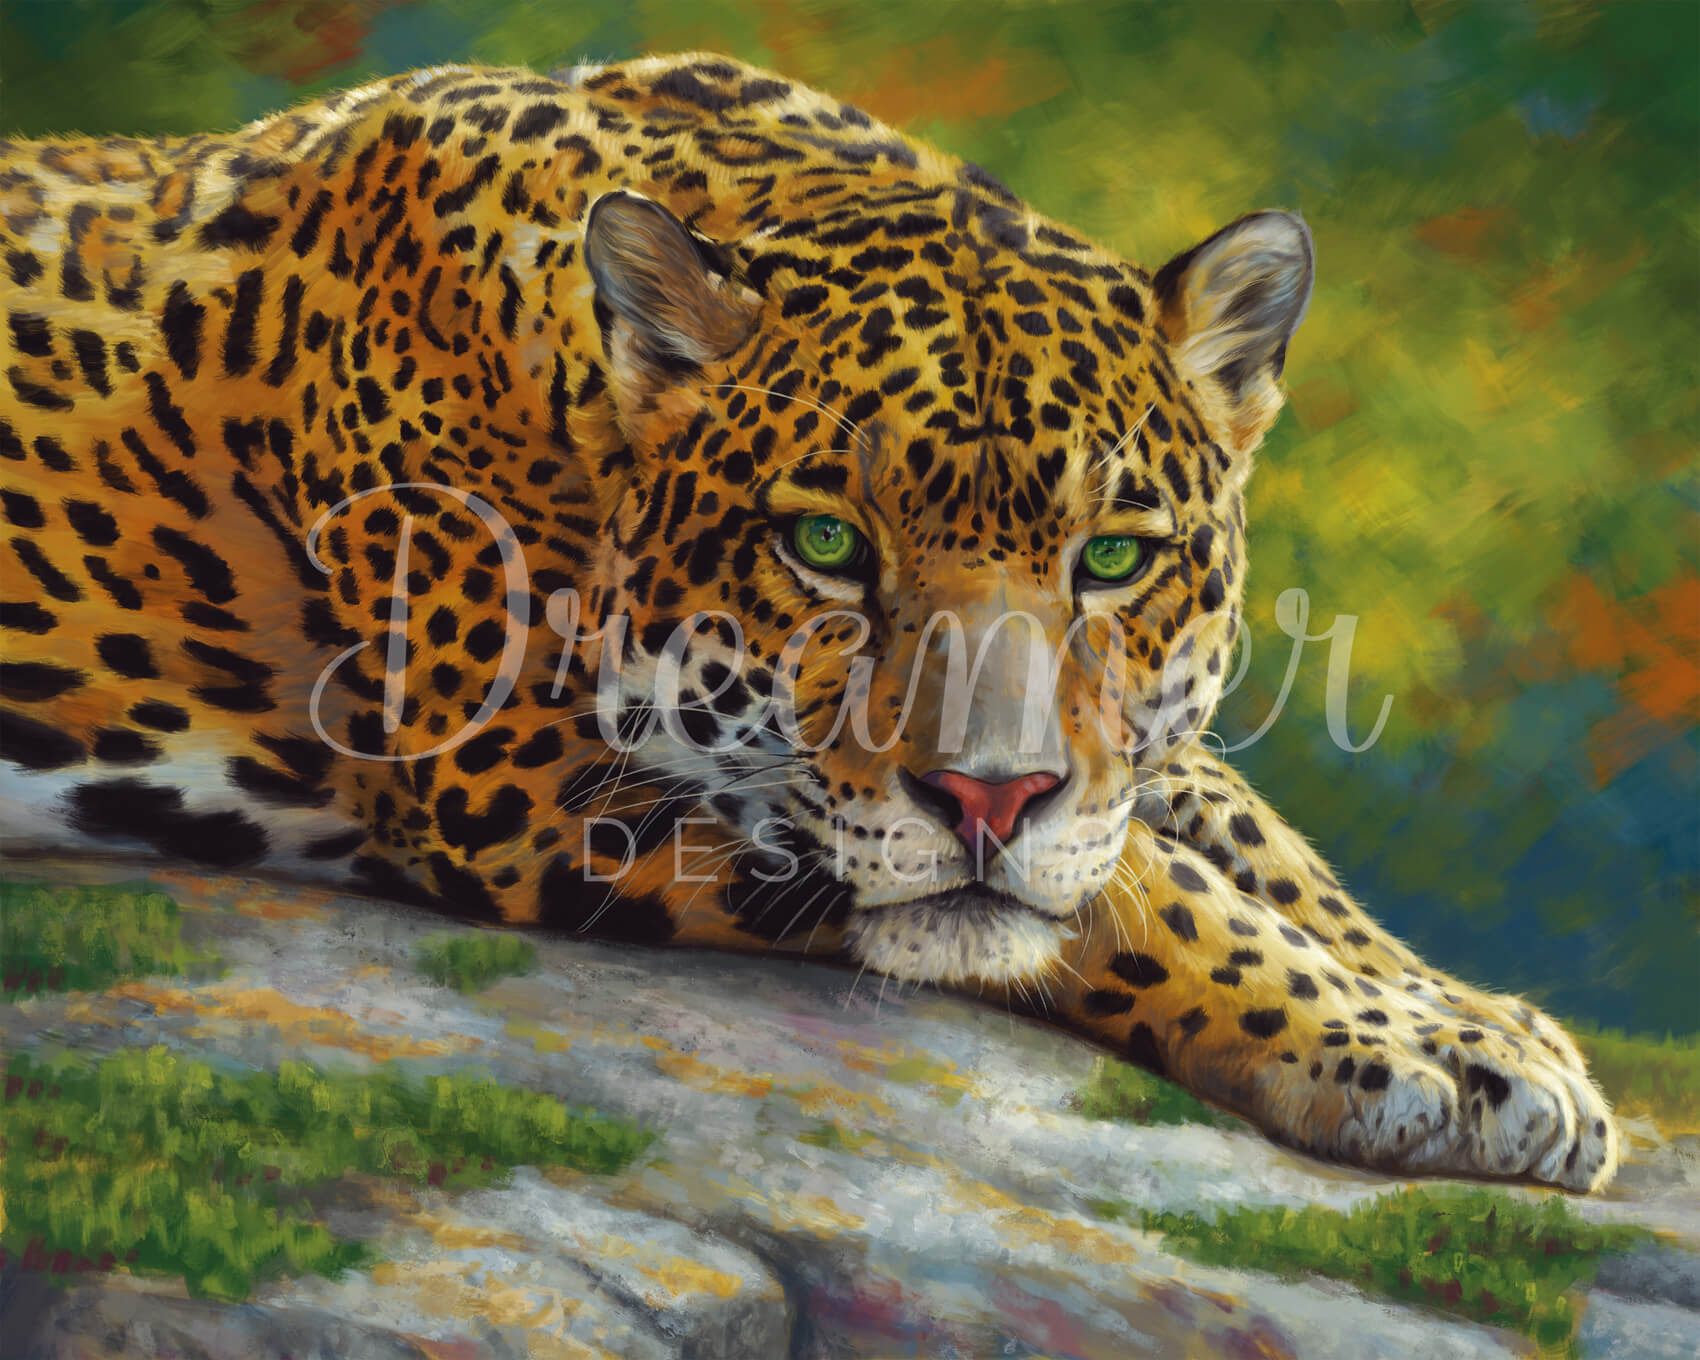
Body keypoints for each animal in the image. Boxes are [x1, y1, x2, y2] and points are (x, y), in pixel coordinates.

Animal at [0, 52, 1617, 1191]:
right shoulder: (533, 772)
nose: (988, 799)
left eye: (1110, 559)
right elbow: (1128, 889)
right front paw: (1403, 1056)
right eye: (827, 545)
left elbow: (1228, 821)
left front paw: (1478, 1022)